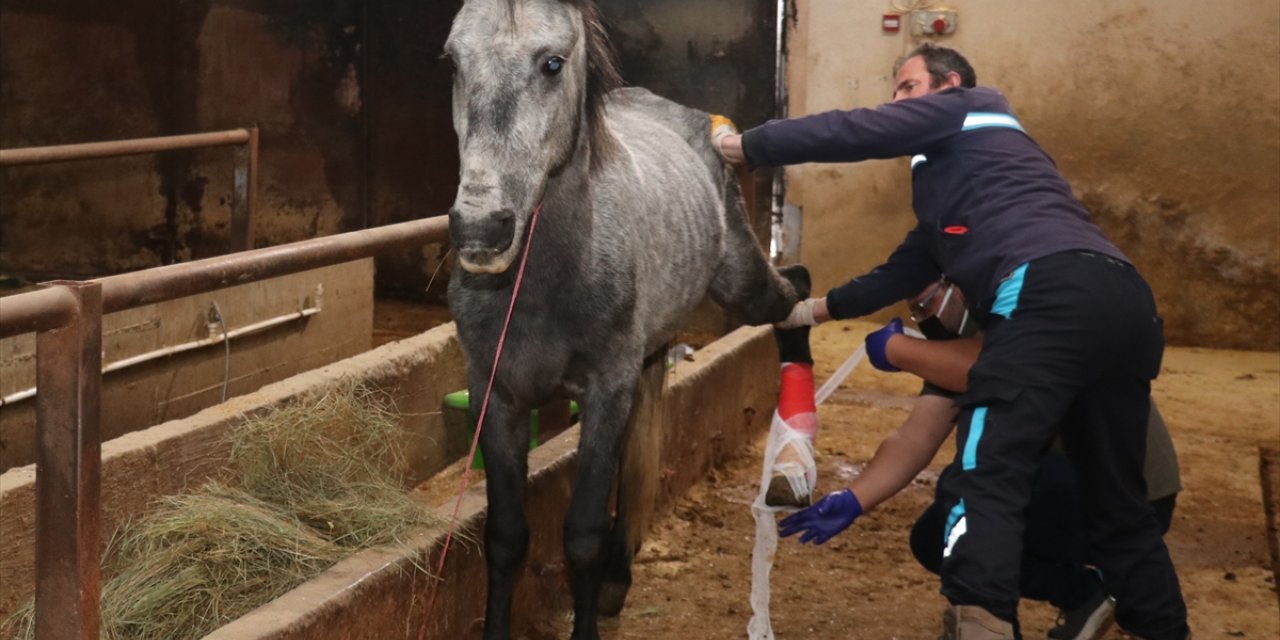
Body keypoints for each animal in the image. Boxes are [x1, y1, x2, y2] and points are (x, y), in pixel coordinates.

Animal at [442, 1, 798, 640]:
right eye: (453, 62)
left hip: (746, 287)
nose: (481, 229)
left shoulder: (607, 390)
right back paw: (618, 577)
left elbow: (582, 533)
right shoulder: (495, 394)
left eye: (552, 62)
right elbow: (505, 537)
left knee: (793, 294)